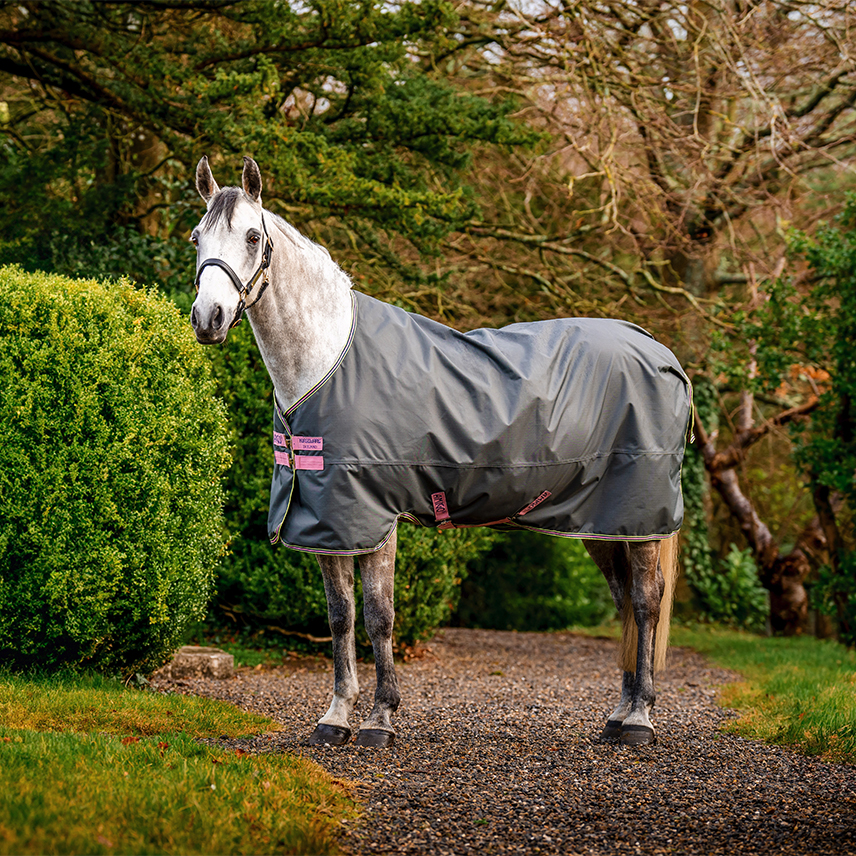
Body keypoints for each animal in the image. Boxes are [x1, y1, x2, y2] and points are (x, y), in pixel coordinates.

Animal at [190, 156, 692, 748]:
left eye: (251, 235)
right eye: (196, 237)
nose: (208, 318)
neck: (326, 363)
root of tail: (660, 352)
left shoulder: (374, 516)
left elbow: (379, 616)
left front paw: (380, 720)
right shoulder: (327, 521)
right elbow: (340, 618)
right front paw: (335, 718)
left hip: (640, 520)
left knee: (646, 602)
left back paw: (639, 720)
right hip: (603, 525)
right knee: (624, 603)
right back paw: (618, 714)